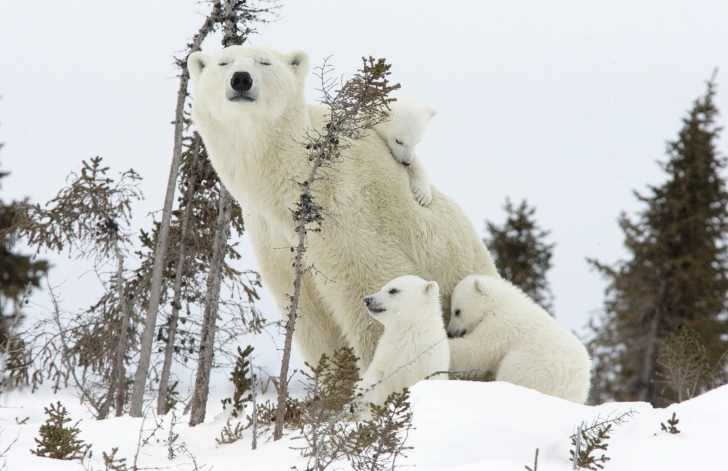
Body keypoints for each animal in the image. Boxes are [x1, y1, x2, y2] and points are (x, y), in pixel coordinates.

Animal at [186, 45, 500, 368]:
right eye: (223, 62)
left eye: (265, 62)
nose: (241, 79)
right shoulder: (273, 237)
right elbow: (311, 320)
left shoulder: (348, 215)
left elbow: (372, 295)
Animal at [354, 274, 450, 418]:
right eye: (382, 287)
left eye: (393, 290)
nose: (367, 299)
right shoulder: (388, 355)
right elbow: (378, 377)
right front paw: (360, 398)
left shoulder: (429, 361)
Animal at [450, 274, 592, 404]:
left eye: (457, 311)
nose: (451, 332)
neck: (500, 302)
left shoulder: (501, 325)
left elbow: (478, 350)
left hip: (531, 368)